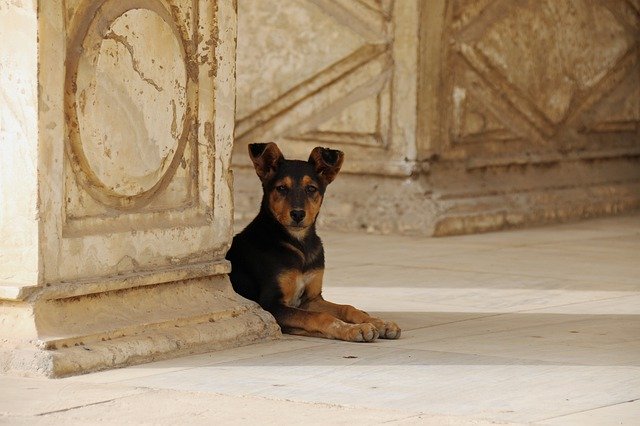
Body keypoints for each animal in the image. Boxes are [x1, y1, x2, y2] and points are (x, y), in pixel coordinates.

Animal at [226, 143, 400, 342]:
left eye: (311, 189)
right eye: (281, 188)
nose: (298, 214)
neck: (299, 244)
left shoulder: (311, 299)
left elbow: (347, 308)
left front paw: (380, 323)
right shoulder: (270, 304)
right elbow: (320, 317)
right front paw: (355, 329)